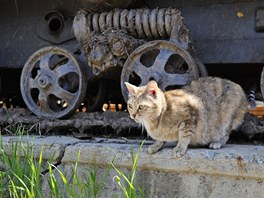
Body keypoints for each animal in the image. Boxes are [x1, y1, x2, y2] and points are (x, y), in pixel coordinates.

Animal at [125, 77, 253, 158]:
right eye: (130, 106)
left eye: (141, 107)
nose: (133, 115)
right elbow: (160, 139)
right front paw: (156, 145)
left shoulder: (189, 116)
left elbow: (184, 135)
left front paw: (180, 148)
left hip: (227, 120)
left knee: (226, 135)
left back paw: (217, 143)